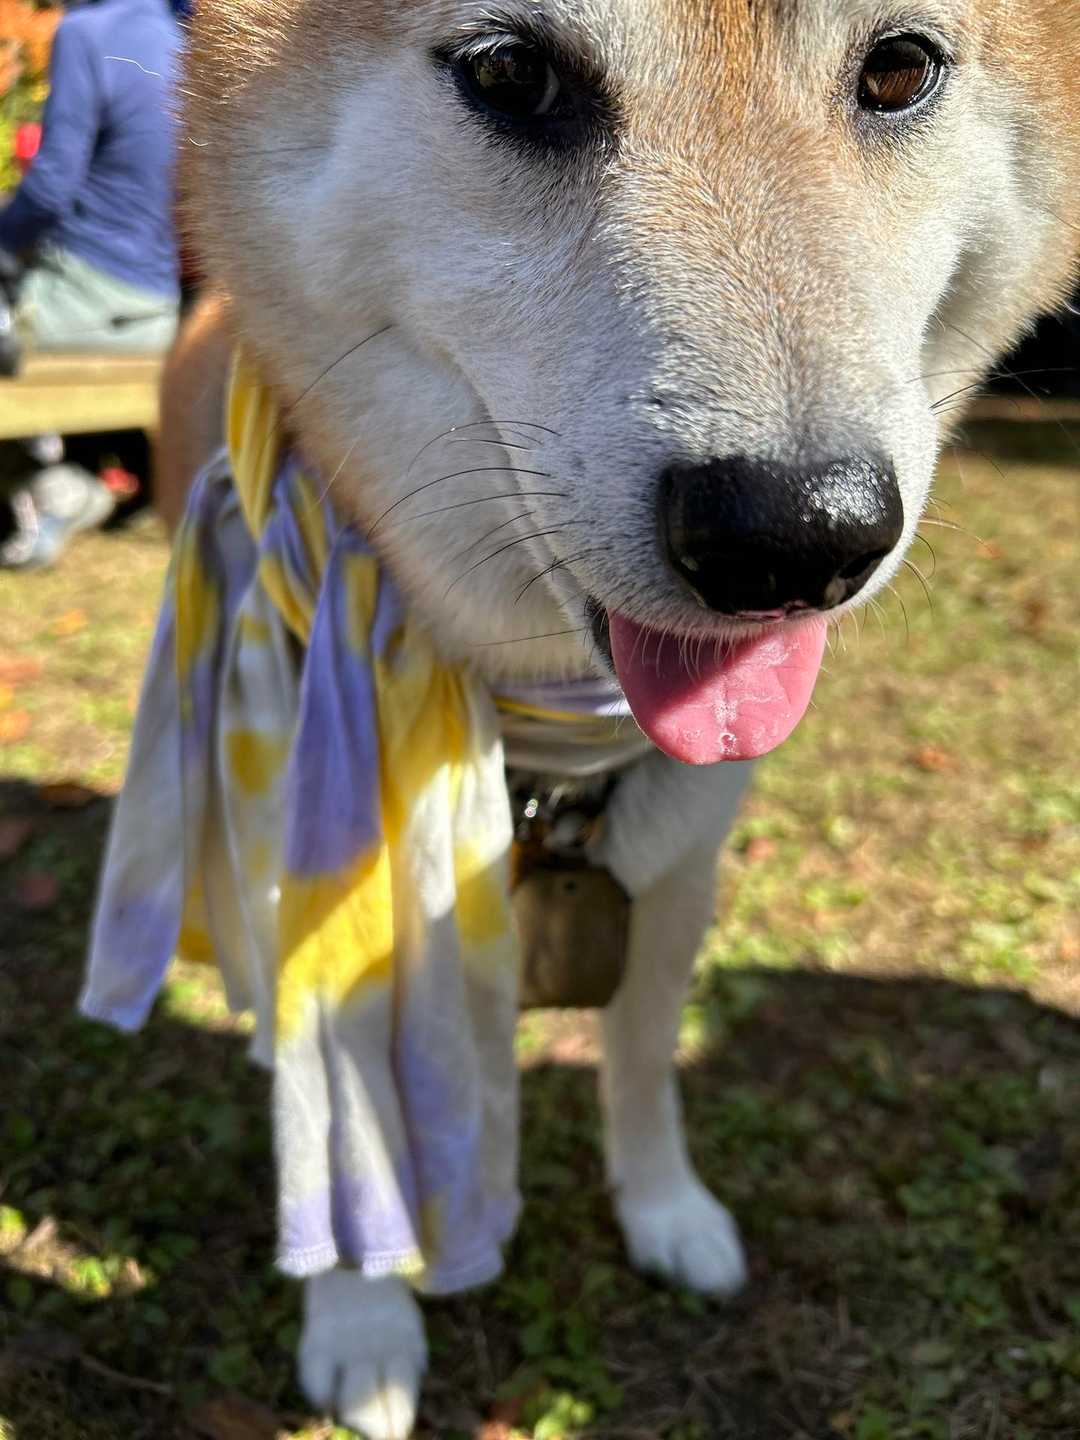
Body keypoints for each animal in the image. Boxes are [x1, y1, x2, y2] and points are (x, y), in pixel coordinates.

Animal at [156, 2, 1080, 1434]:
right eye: (510, 70)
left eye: (897, 68)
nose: (793, 538)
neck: (543, 727)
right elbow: (340, 1101)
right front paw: (362, 1317)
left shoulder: (681, 869)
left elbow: (644, 1061)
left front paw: (666, 1211)